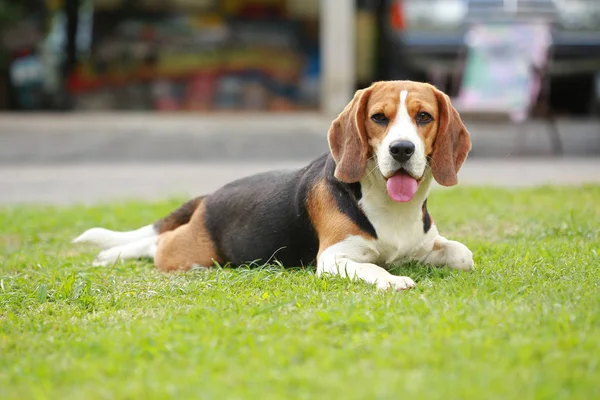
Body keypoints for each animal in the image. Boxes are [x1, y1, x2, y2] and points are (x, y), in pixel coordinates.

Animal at [72, 80, 474, 290]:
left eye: (424, 116)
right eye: (379, 118)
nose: (402, 149)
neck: (390, 206)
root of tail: (209, 196)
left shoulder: (425, 245)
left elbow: (463, 254)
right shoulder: (333, 258)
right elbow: (374, 268)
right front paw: (393, 280)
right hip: (194, 253)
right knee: (157, 244)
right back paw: (112, 255)